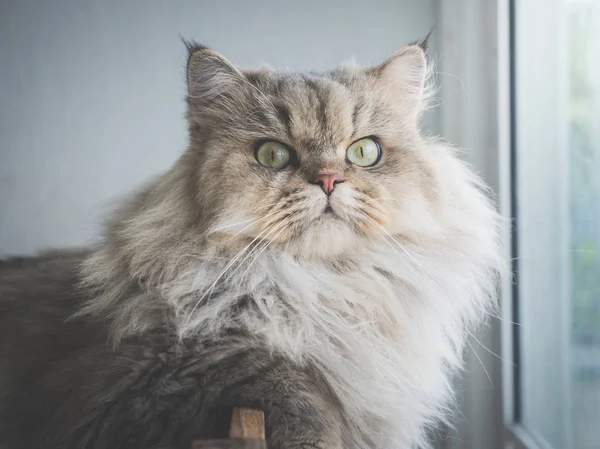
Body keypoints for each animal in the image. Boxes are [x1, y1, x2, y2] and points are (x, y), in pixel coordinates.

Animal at [0, 39, 502, 448]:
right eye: (273, 155)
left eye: (364, 151)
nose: (328, 180)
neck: (318, 291)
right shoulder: (150, 375)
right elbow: (283, 379)